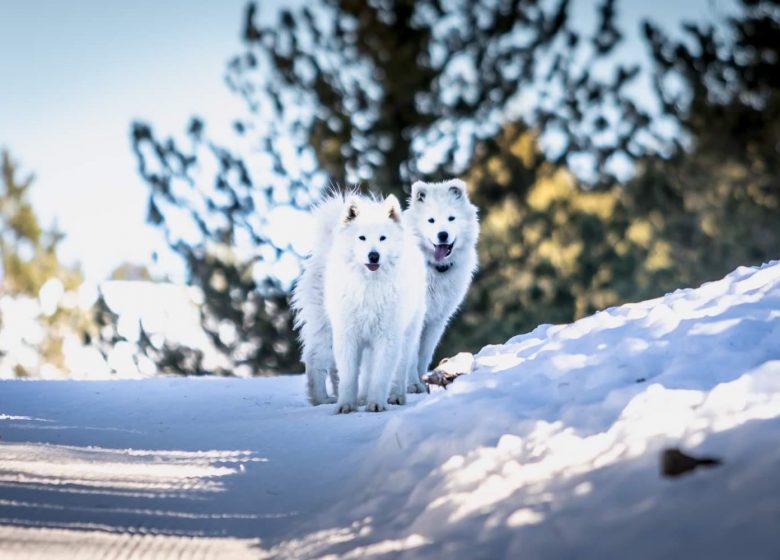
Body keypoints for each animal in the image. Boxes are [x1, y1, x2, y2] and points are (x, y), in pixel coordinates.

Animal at [292, 192, 426, 412]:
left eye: (382, 238)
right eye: (361, 237)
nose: (373, 255)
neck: (369, 286)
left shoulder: (387, 336)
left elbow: (379, 375)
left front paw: (375, 403)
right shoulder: (347, 335)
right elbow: (349, 375)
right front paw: (346, 405)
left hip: (406, 332)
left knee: (398, 368)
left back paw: (392, 396)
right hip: (325, 329)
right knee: (317, 361)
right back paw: (324, 399)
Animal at [406, 179, 478, 394]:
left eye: (451, 218)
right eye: (431, 220)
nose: (443, 235)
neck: (435, 268)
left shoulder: (437, 320)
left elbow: (423, 355)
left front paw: (424, 384)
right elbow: (410, 357)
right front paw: (412, 385)